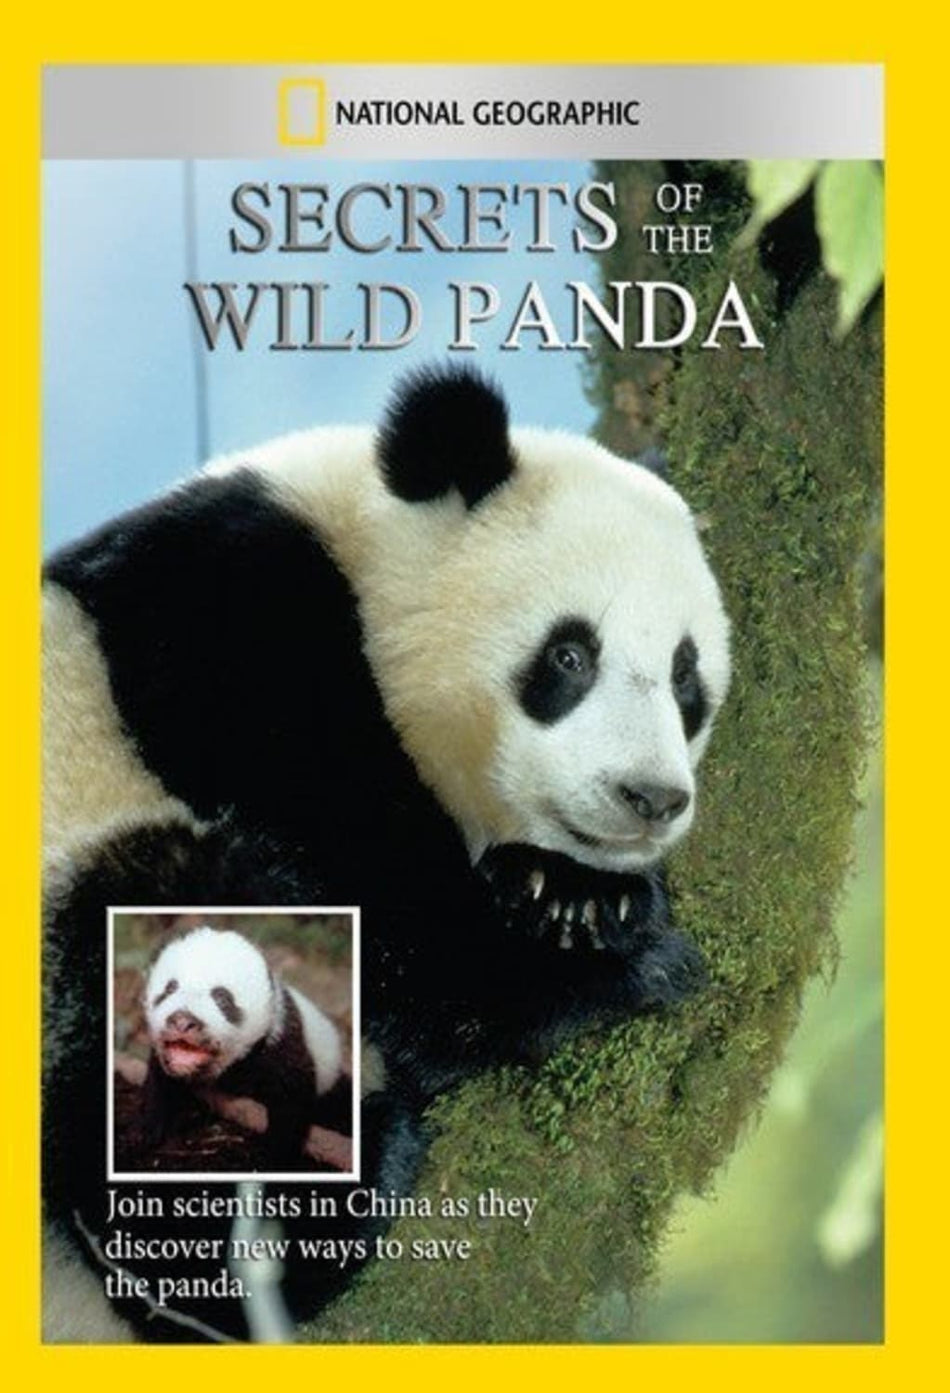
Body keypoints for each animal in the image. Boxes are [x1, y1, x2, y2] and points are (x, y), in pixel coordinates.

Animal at [42, 364, 731, 1340]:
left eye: (685, 677)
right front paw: (601, 965)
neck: (365, 553)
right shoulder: (227, 633)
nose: (651, 798)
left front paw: (575, 896)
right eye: (569, 655)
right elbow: (380, 913)